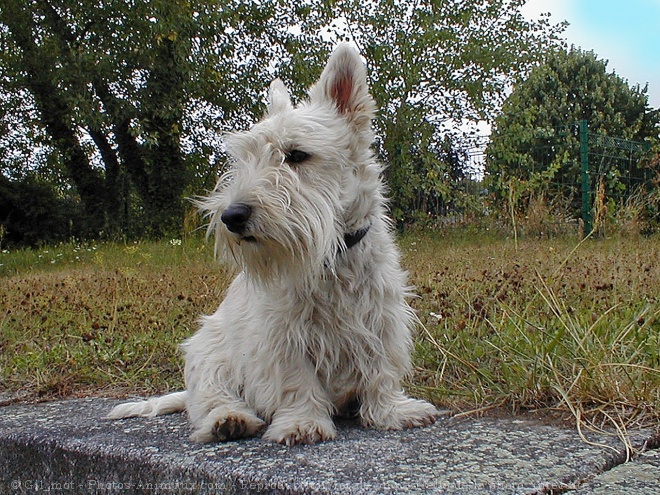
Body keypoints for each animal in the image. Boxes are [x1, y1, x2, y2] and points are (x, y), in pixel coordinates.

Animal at [107, 44, 438, 448]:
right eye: (246, 157)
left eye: (296, 154)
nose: (232, 216)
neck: (332, 254)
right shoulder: (281, 336)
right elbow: (296, 381)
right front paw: (302, 422)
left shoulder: (381, 320)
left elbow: (381, 370)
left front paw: (391, 411)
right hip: (209, 354)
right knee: (210, 398)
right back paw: (228, 420)